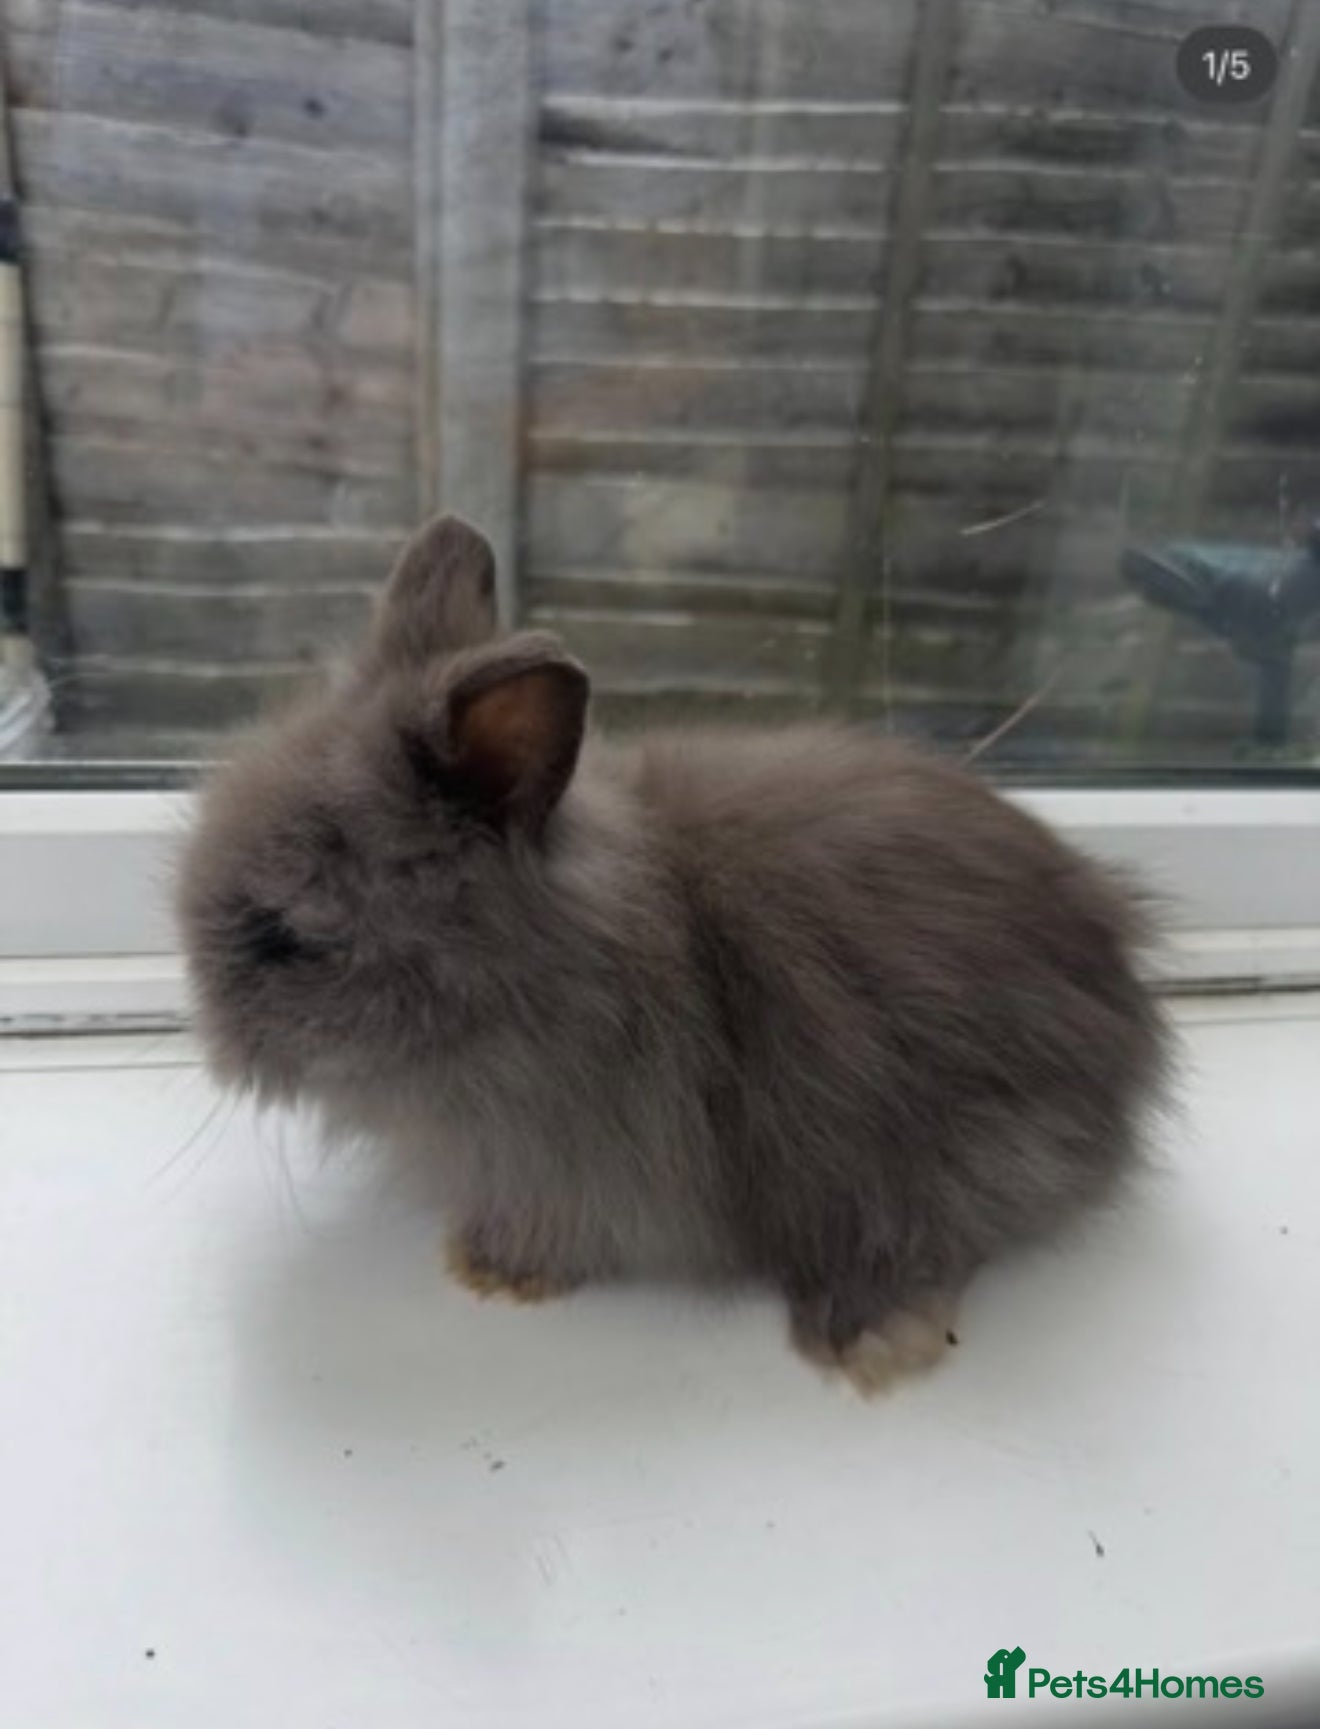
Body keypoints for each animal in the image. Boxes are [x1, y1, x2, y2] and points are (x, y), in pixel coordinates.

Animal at [178, 514, 1171, 1395]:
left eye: (292, 934)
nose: (213, 1040)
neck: (538, 972)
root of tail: (1128, 1014)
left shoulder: (573, 1167)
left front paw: (492, 1270)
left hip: (956, 1150)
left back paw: (870, 1337)